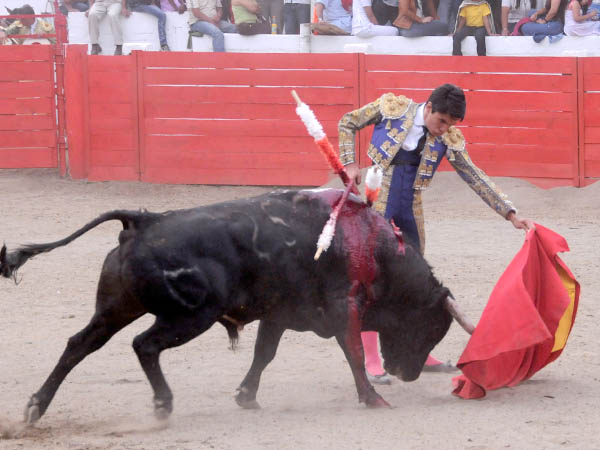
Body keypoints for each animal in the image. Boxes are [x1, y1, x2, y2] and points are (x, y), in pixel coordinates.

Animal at [0, 188, 472, 424]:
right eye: (432, 328)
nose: (408, 374)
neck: (373, 248)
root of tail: (145, 220)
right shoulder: (344, 311)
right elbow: (354, 353)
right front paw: (373, 398)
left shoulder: (278, 315)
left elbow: (265, 354)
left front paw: (247, 397)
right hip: (191, 316)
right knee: (143, 345)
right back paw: (163, 404)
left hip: (116, 308)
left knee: (79, 344)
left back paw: (35, 407)